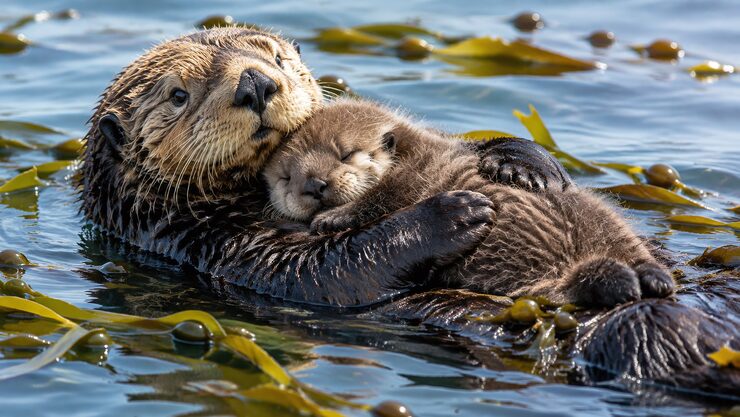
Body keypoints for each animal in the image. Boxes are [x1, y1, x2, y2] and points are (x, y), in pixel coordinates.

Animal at [79, 27, 571, 307]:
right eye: (178, 95)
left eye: (277, 58)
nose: (254, 82)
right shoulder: (209, 241)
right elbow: (322, 272)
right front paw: (453, 215)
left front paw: (527, 163)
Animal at [264, 99, 675, 307]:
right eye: (285, 177)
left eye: (346, 154)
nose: (314, 186)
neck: (411, 152)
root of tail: (572, 261)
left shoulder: (409, 175)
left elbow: (379, 198)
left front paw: (332, 218)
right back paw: (635, 282)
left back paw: (648, 278)